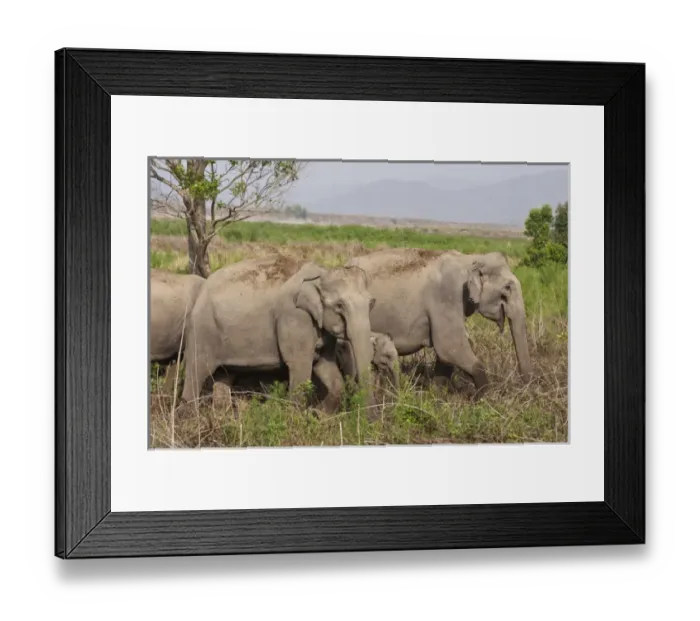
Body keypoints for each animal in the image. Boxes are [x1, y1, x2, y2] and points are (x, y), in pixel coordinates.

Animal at [180, 255, 376, 414]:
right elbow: (300, 370)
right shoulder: (294, 318)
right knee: (196, 372)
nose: (369, 419)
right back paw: (191, 419)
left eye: (371, 303)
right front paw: (297, 419)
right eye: (339, 306)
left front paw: (319, 415)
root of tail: (202, 290)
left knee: (224, 375)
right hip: (202, 330)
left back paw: (222, 417)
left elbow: (326, 367)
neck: (321, 273)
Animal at [345, 248, 533, 395]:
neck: (470, 260)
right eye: (507, 289)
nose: (524, 387)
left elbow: (446, 356)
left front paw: (437, 396)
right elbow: (449, 348)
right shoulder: (447, 297)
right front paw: (484, 400)